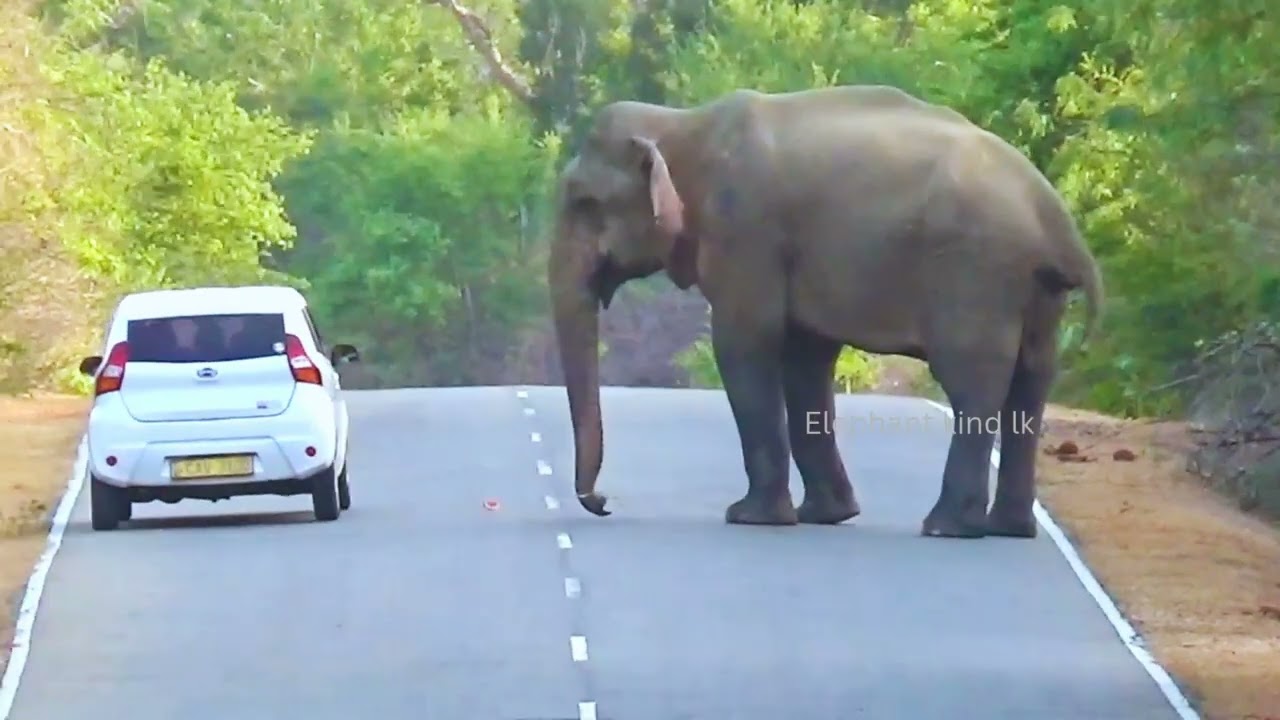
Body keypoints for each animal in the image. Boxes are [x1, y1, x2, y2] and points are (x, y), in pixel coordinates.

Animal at [547, 84, 1103, 539]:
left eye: (585, 202)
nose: (603, 503)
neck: (681, 124)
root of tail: (1056, 221)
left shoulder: (745, 230)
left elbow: (745, 344)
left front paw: (750, 518)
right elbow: (804, 359)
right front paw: (826, 516)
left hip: (975, 273)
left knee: (973, 382)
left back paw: (948, 528)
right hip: (1032, 291)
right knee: (1032, 379)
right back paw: (1007, 529)